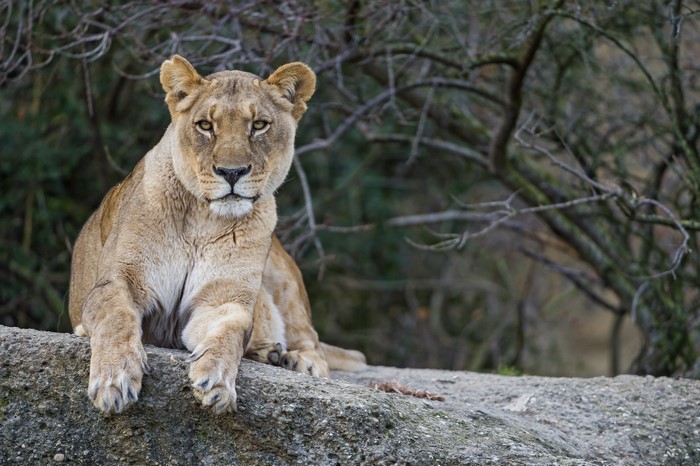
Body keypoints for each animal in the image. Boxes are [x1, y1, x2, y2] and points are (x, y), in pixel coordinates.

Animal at [68, 55, 365, 415]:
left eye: (259, 125)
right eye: (205, 126)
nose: (231, 172)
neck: (202, 221)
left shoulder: (223, 299)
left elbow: (230, 333)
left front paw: (217, 382)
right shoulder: (118, 282)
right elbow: (115, 318)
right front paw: (115, 379)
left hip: (284, 280)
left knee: (314, 342)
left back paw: (294, 360)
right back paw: (270, 353)